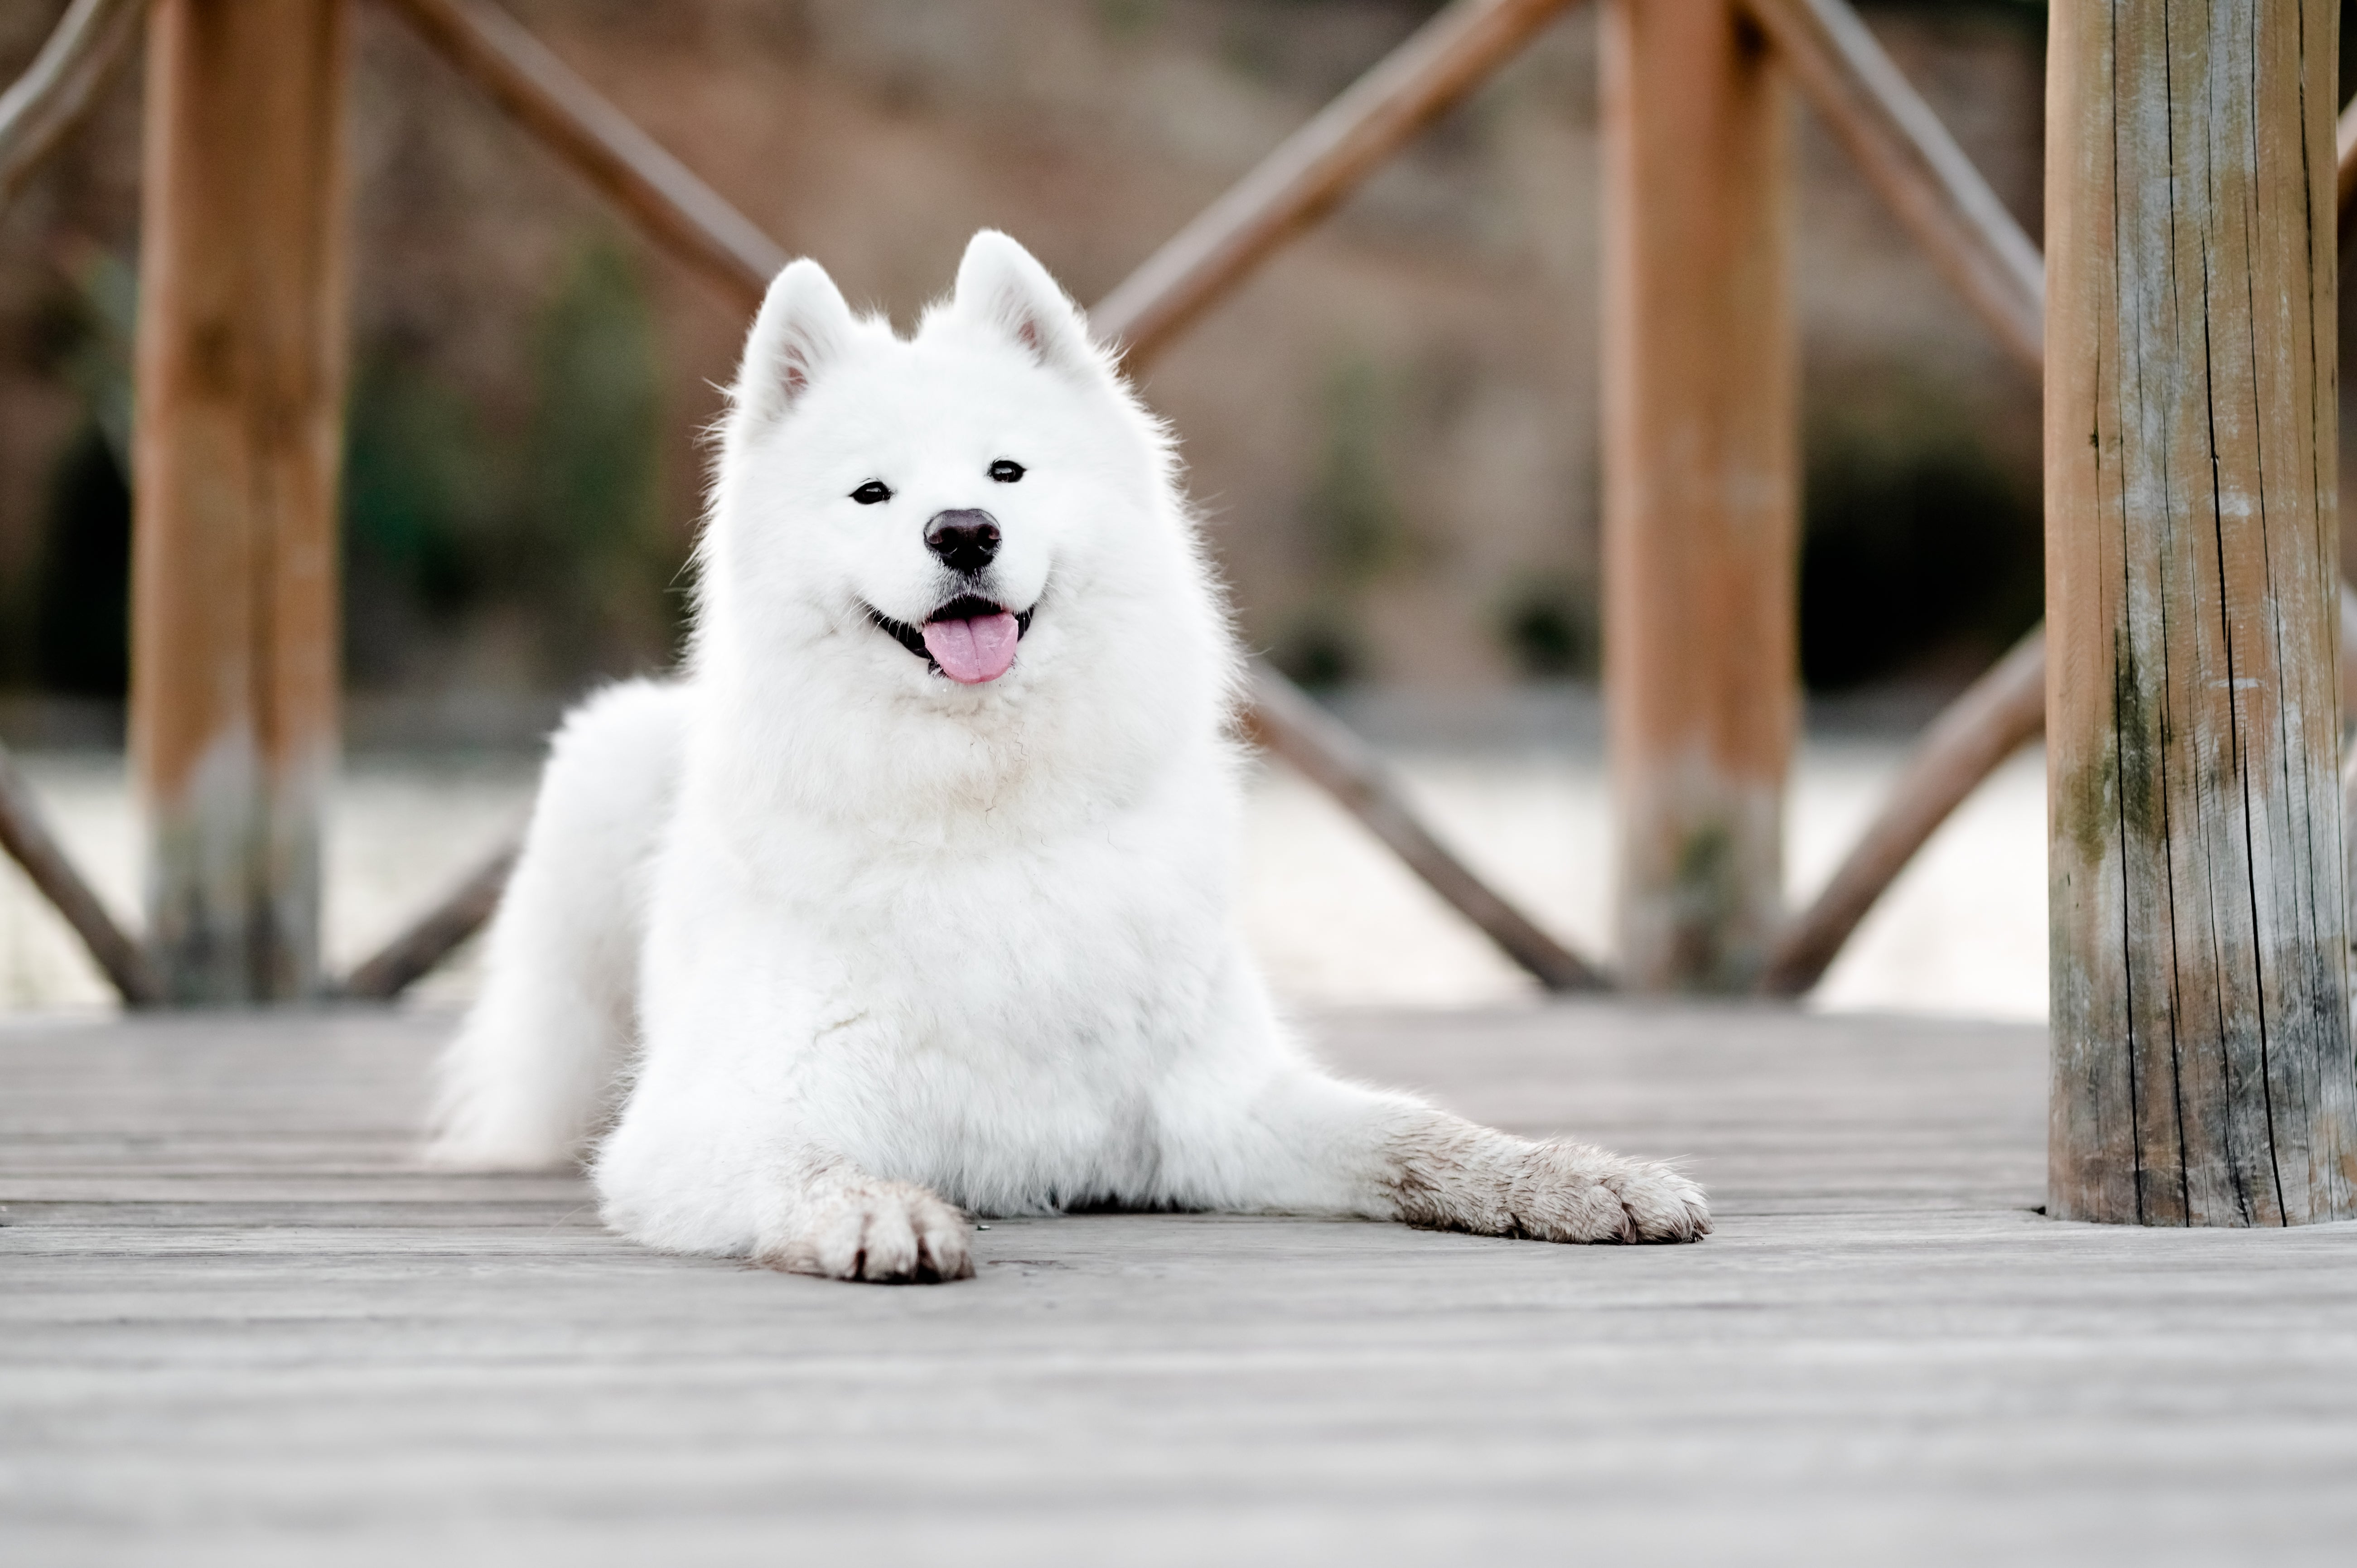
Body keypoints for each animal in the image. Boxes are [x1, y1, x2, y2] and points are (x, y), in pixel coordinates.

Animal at [429, 236, 1716, 1283]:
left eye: (1006, 472)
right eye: (872, 492)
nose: (962, 532)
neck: (994, 803)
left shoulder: (1224, 1104)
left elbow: (1423, 1135)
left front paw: (1576, 1177)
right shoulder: (708, 1120)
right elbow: (811, 1169)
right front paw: (884, 1216)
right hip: (602, 769)